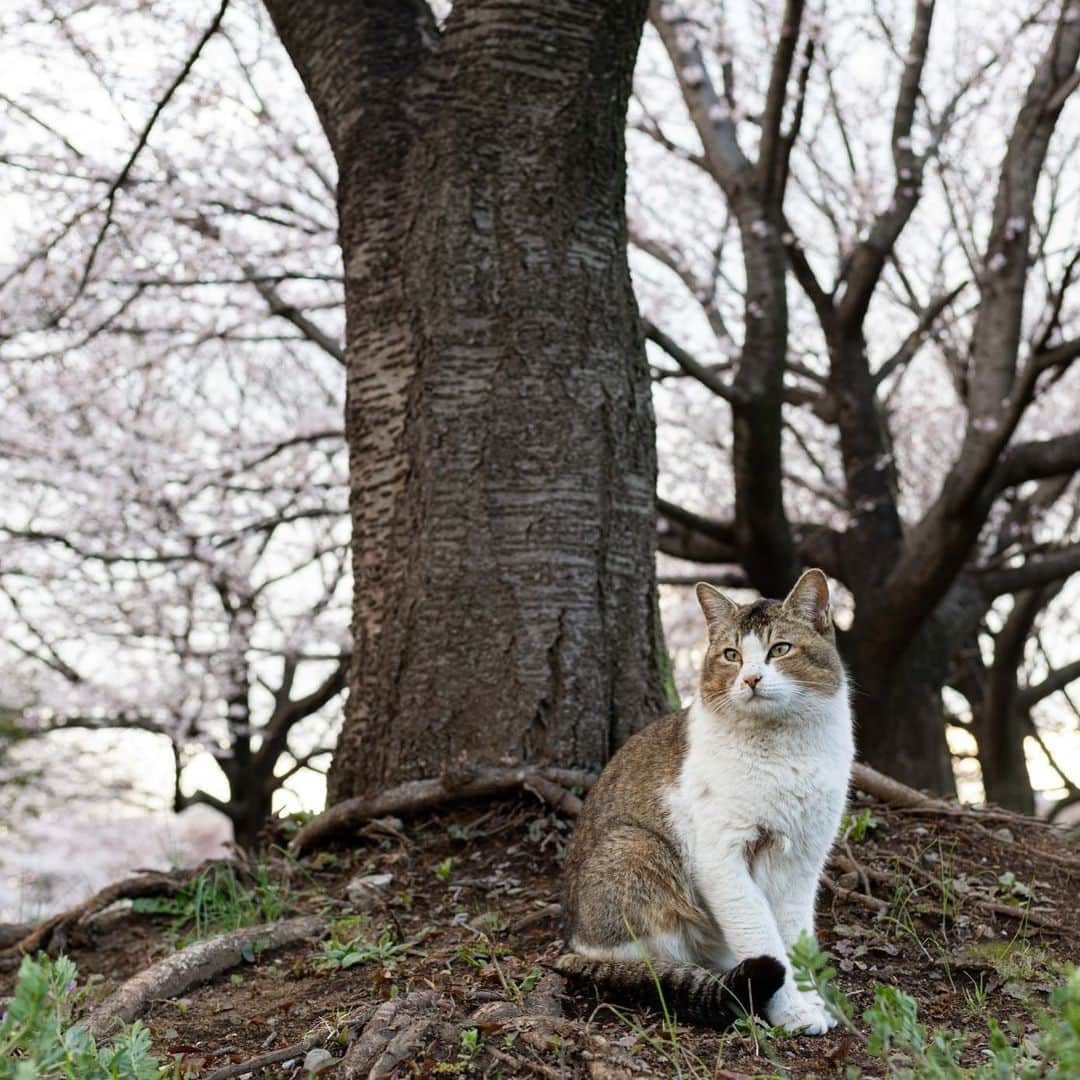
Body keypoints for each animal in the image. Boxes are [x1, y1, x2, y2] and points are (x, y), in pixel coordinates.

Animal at [557, 570, 851, 1032]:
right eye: (732, 655)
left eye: (780, 649)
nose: (750, 679)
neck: (782, 747)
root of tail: (570, 938)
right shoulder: (722, 858)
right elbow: (761, 935)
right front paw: (791, 1011)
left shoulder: (803, 861)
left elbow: (793, 937)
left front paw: (810, 1002)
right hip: (637, 847)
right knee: (643, 961)